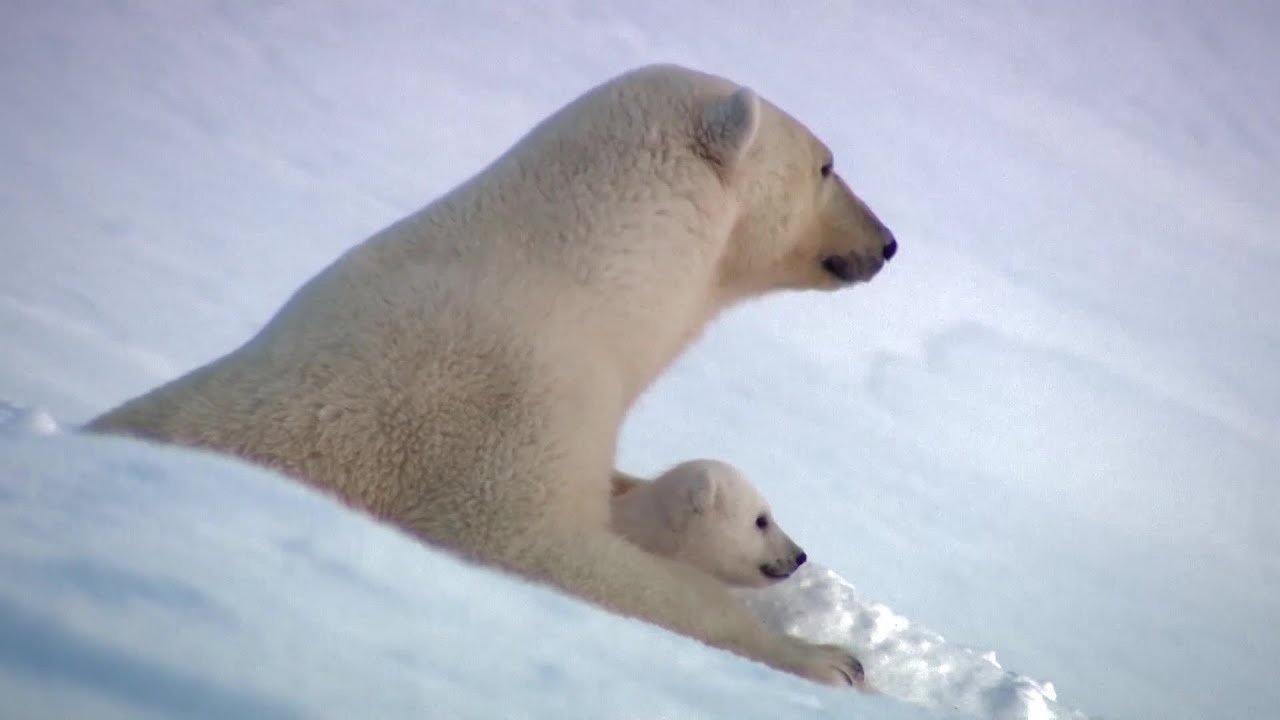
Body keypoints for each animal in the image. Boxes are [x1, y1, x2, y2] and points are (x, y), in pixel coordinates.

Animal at [85, 64, 896, 686]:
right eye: (827, 165)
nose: (886, 241)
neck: (581, 275)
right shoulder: (505, 408)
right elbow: (541, 551)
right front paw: (829, 658)